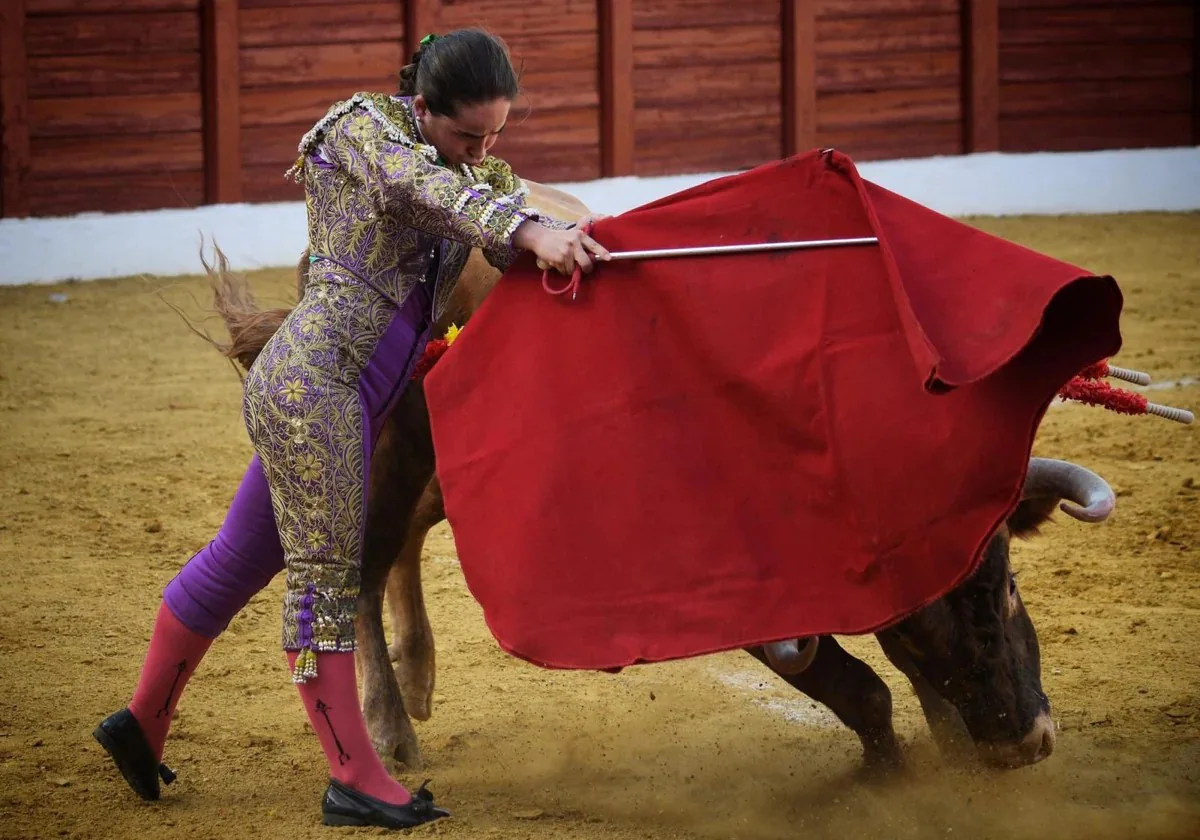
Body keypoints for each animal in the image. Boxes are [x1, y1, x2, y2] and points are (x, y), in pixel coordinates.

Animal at [199, 182, 1113, 772]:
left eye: (1007, 584)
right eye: (930, 621)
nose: (1025, 743)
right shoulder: (753, 605)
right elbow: (862, 692)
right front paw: (894, 777)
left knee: (403, 544)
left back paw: (419, 680)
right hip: (383, 442)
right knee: (357, 563)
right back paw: (391, 731)